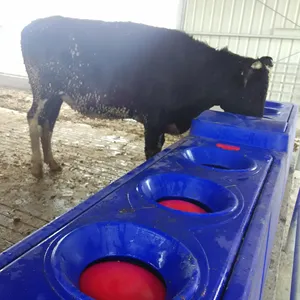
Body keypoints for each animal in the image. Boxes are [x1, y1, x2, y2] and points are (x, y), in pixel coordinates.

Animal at [20, 16, 274, 178]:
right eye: (254, 92)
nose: (260, 119)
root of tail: (33, 25)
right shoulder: (154, 119)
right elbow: (151, 153)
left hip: (56, 95)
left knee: (47, 123)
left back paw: (52, 163)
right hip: (43, 89)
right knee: (33, 117)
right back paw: (37, 167)